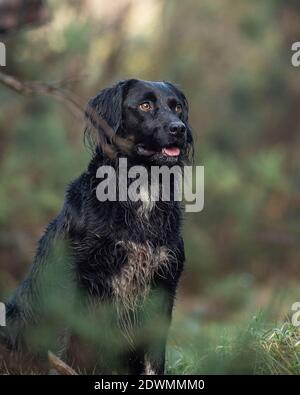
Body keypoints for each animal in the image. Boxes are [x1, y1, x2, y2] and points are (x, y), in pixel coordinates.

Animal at [0, 78, 193, 374]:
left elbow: (154, 358)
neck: (142, 187)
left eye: (177, 107)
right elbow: (65, 348)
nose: (179, 129)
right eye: (145, 105)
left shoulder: (163, 286)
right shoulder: (73, 283)